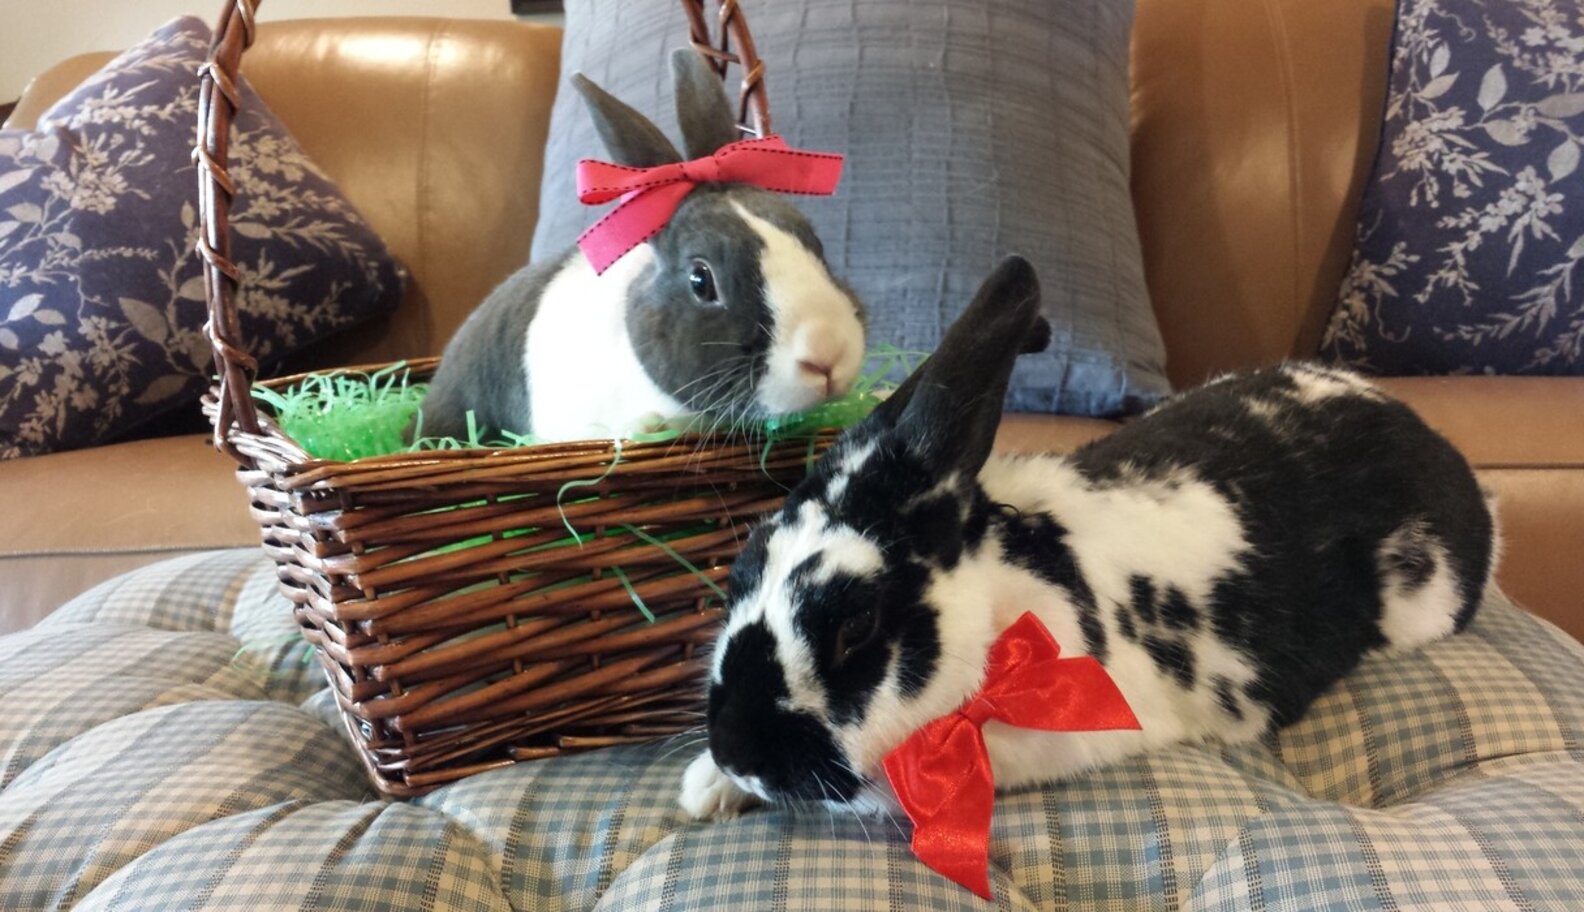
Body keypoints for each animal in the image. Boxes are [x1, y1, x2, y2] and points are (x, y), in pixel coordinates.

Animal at [679, 255, 1497, 821]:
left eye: (855, 627)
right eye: (740, 570)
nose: (737, 749)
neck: (1002, 616)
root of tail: (1433, 441)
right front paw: (706, 789)